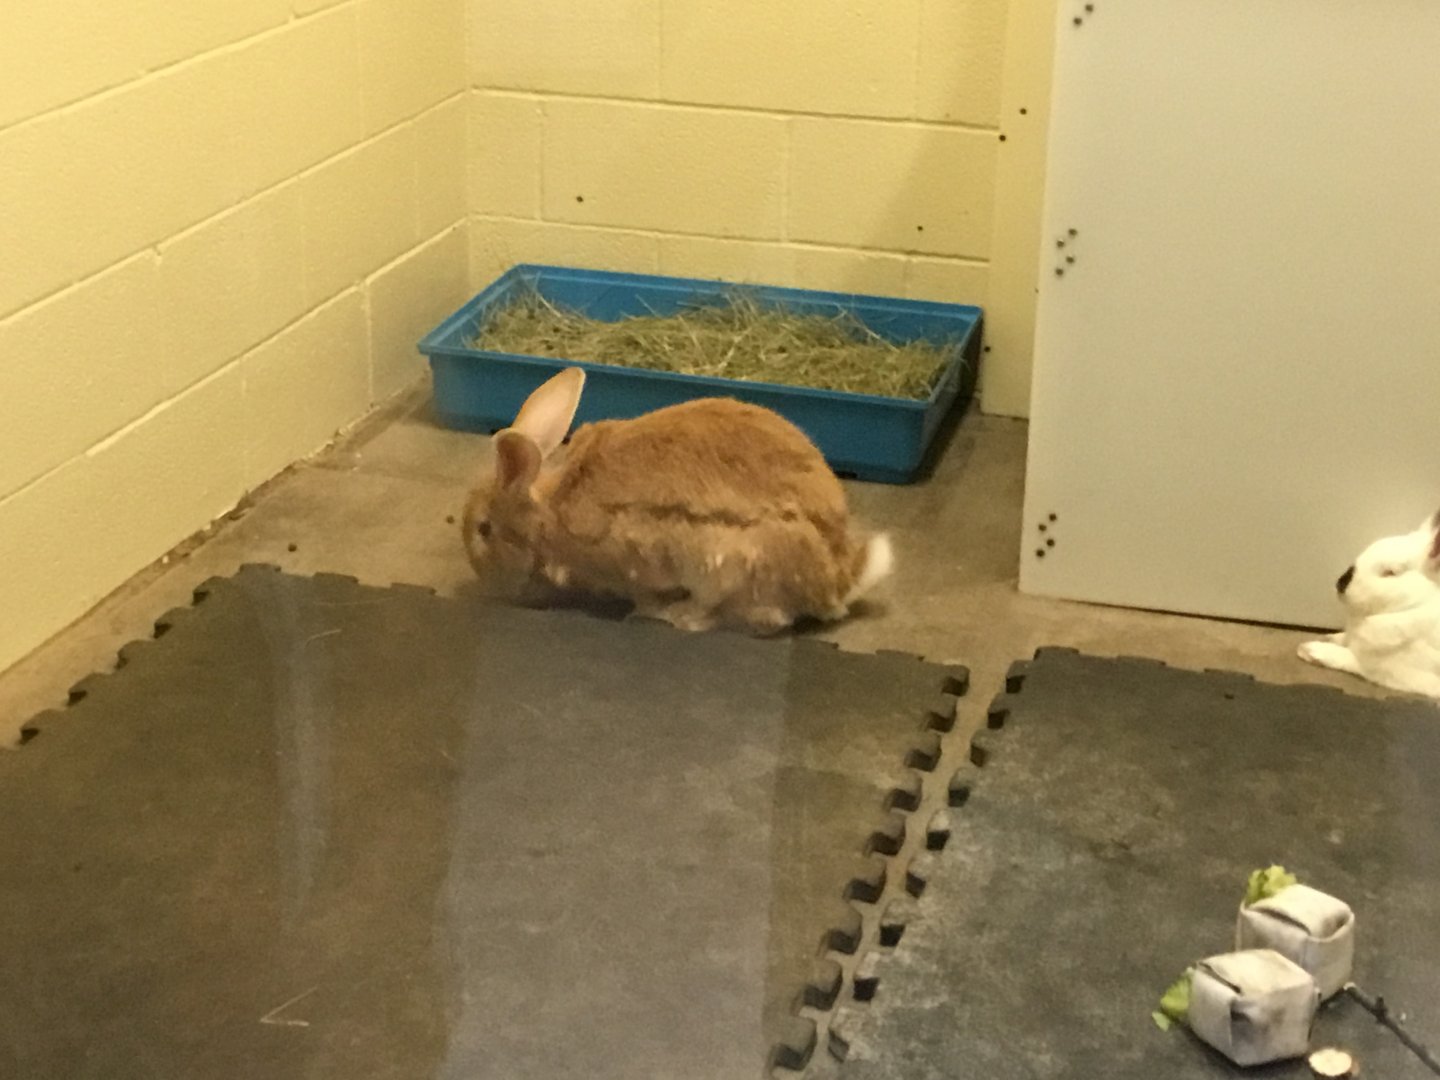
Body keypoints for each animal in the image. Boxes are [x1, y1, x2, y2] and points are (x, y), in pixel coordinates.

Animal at [461, 366, 894, 635]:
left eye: (484, 529)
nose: (482, 581)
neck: (546, 515)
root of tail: (838, 582)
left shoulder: (629, 564)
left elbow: (645, 594)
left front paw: (644, 612)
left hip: (727, 566)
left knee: (757, 618)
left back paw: (678, 617)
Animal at [1297, 510, 1440, 698]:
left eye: (1390, 572)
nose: (1341, 583)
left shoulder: (1388, 670)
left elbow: (1350, 658)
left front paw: (1310, 650)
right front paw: (1329, 637)